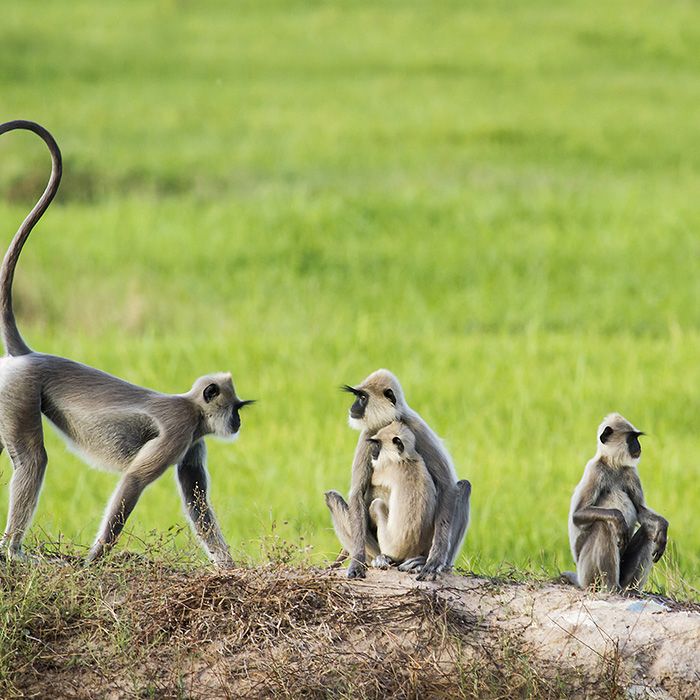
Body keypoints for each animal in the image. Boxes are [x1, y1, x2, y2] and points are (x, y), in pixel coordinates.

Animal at [0, 120, 252, 568]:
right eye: (234, 407)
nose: (238, 421)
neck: (192, 407)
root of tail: (28, 355)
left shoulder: (193, 443)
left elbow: (197, 501)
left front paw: (228, 567)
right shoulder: (180, 430)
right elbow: (134, 479)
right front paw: (93, 560)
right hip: (20, 390)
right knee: (32, 459)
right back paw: (13, 551)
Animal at [366, 422, 438, 568]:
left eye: (378, 445)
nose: (373, 452)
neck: (406, 459)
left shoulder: (385, 469)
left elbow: (374, 482)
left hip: (388, 545)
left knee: (377, 504)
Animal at [564, 412, 668, 592]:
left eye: (636, 438)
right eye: (631, 438)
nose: (639, 446)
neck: (613, 465)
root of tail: (580, 579)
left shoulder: (631, 472)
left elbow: (640, 510)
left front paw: (663, 525)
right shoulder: (595, 470)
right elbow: (577, 515)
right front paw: (618, 518)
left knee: (649, 530)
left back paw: (630, 590)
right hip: (588, 574)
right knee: (603, 526)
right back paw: (611, 586)